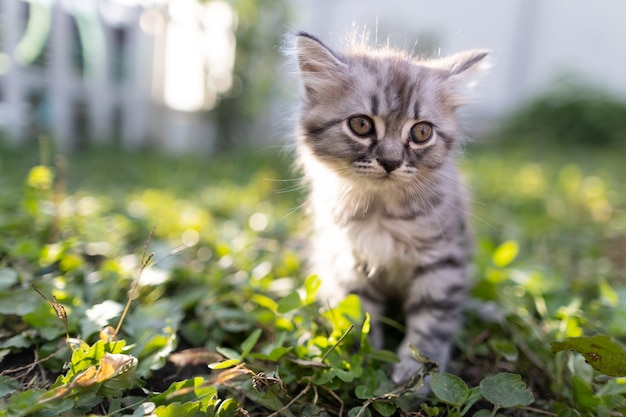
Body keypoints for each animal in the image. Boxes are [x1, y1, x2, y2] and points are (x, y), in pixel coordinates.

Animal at [290, 31, 490, 384]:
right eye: (361, 125)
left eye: (421, 132)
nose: (391, 161)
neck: (381, 210)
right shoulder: (349, 262)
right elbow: (358, 319)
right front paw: (359, 361)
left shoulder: (443, 261)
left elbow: (431, 324)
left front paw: (415, 377)